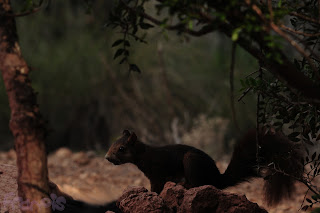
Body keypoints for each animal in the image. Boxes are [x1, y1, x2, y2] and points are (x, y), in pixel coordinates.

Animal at [106, 129, 304, 206]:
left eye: (121, 148)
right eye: (113, 143)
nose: (107, 157)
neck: (144, 155)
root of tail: (217, 178)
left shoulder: (157, 173)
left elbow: (156, 187)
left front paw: (152, 195)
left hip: (191, 162)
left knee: (197, 183)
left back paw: (186, 186)